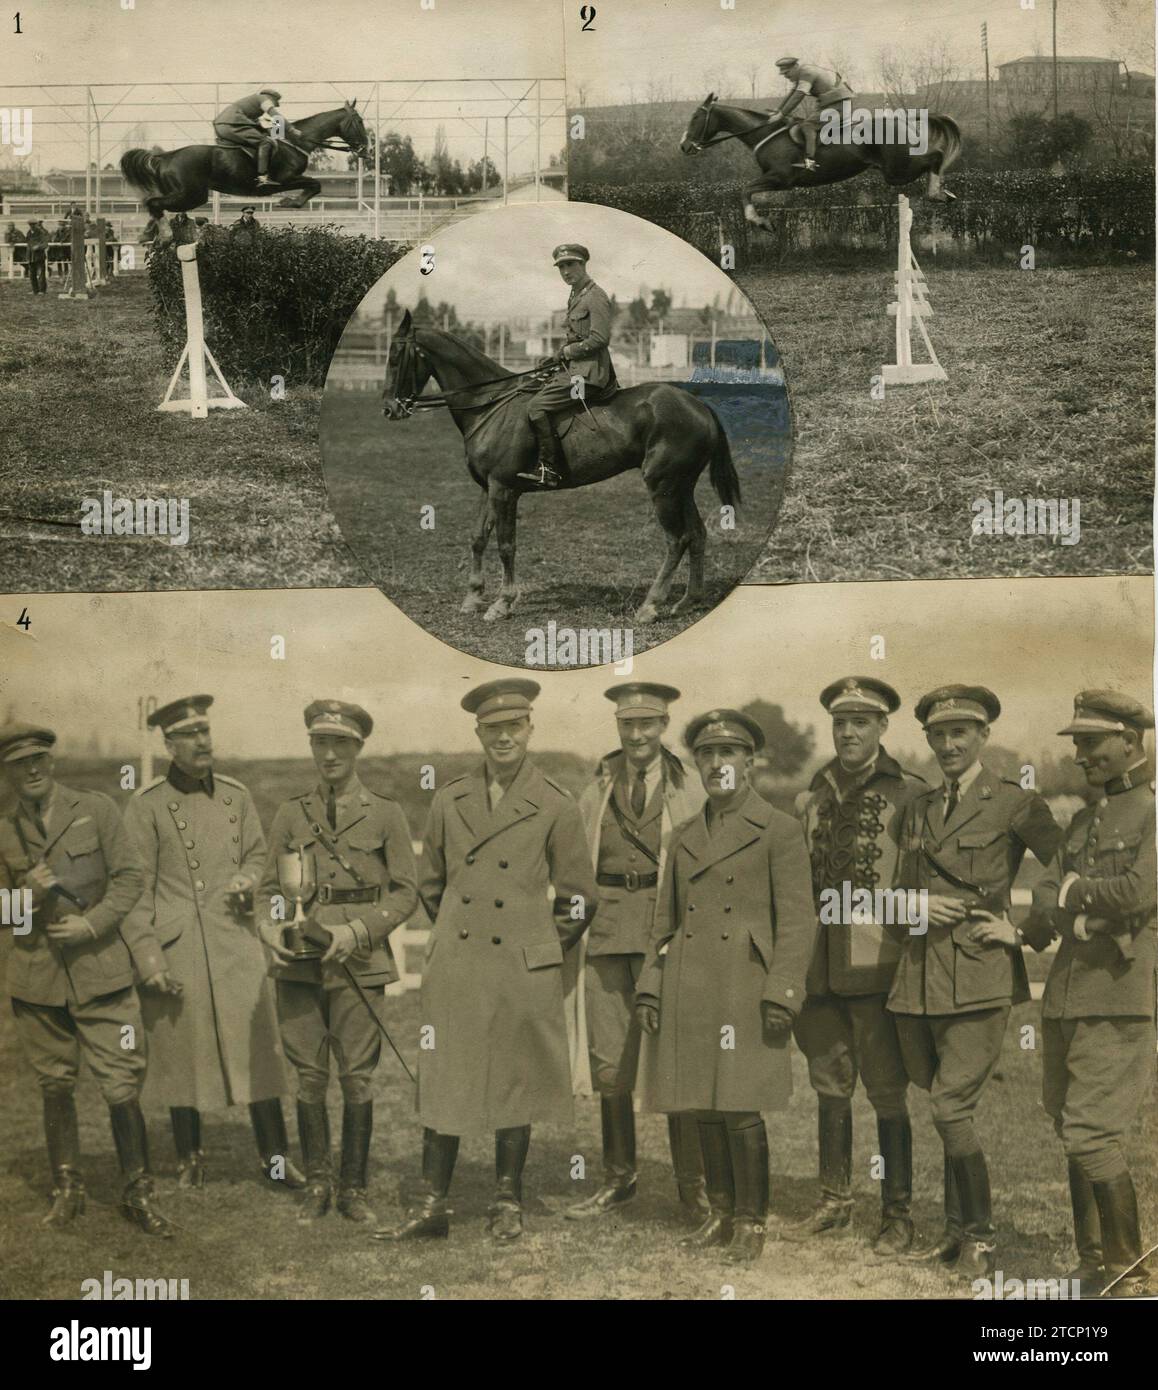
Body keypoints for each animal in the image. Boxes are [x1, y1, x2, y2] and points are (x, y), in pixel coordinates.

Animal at [121, 101, 367, 215]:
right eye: (360, 121)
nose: (366, 148)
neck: (296, 141)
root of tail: (165, 157)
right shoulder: (285, 179)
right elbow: (315, 185)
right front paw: (289, 202)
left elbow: (314, 186)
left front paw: (289, 202)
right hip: (190, 195)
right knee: (153, 203)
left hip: (189, 195)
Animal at [378, 311, 739, 631]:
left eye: (395, 357)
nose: (390, 409)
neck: (491, 405)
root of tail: (700, 406)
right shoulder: (488, 487)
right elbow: (478, 538)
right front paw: (473, 598)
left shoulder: (504, 489)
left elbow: (506, 545)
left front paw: (502, 603)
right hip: (682, 486)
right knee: (697, 535)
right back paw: (688, 601)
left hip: (663, 486)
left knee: (677, 539)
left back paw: (651, 605)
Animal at [681, 94, 961, 233]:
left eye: (695, 118)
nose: (683, 146)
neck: (765, 132)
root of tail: (903, 119)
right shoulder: (776, 180)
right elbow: (746, 191)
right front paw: (761, 221)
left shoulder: (781, 178)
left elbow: (745, 191)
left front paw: (761, 222)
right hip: (896, 170)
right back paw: (942, 193)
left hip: (897, 170)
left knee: (935, 157)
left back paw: (937, 192)